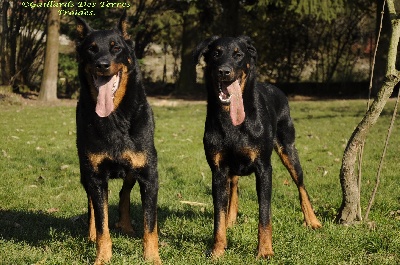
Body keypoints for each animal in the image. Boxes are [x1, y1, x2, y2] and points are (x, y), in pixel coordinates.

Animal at [76, 12, 160, 264]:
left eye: (115, 48)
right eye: (91, 49)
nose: (102, 64)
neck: (114, 117)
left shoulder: (148, 174)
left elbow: (150, 225)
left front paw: (152, 257)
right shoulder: (95, 176)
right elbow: (102, 222)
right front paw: (102, 257)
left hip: (133, 169)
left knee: (124, 193)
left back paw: (126, 225)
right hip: (85, 171)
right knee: (93, 206)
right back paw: (91, 234)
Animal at [194, 36, 322, 256]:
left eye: (238, 54)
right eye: (216, 53)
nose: (224, 71)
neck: (231, 120)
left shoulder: (264, 168)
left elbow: (264, 213)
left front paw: (264, 250)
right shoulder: (218, 170)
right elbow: (218, 215)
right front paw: (217, 250)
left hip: (288, 148)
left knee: (301, 185)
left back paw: (312, 220)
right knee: (234, 186)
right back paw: (231, 220)